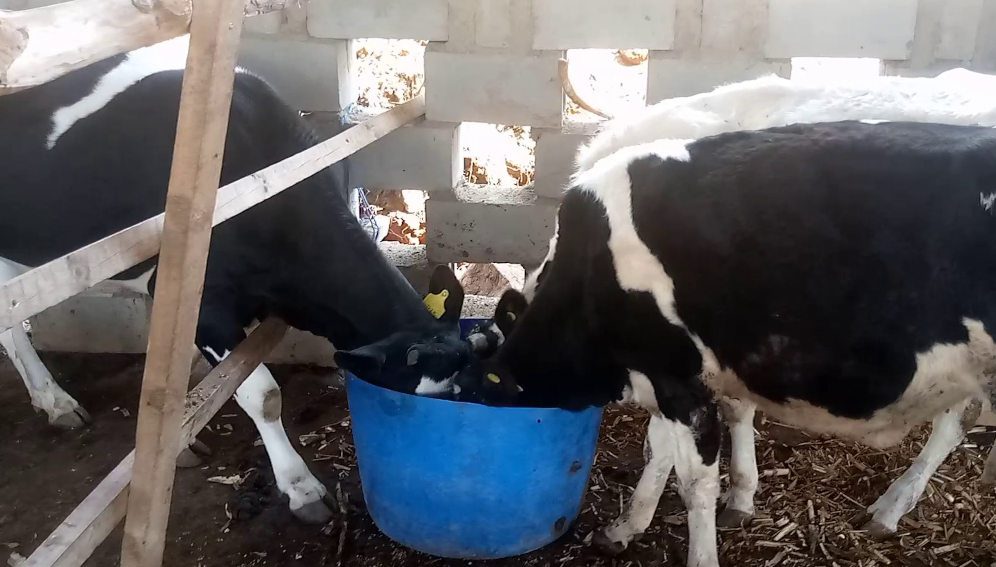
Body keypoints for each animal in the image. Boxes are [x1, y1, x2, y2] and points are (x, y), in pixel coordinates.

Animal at [0, 35, 472, 524]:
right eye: (403, 404)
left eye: (462, 388)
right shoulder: (204, 304)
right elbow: (262, 394)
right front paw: (301, 489)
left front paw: (178, 444)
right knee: (11, 331)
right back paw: (55, 402)